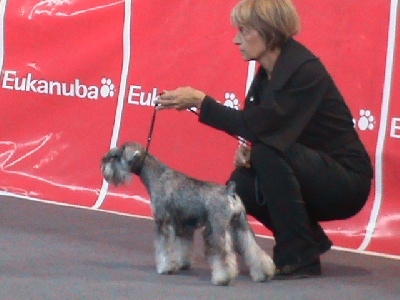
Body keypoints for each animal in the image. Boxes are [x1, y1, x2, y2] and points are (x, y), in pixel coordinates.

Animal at [101, 142, 276, 286]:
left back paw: (222, 278)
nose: (103, 163)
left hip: (216, 228)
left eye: (116, 156)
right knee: (253, 248)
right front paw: (181, 264)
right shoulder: (184, 224)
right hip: (241, 226)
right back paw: (264, 273)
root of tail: (230, 192)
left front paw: (165, 267)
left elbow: (164, 247)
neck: (157, 176)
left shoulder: (163, 222)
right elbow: (182, 246)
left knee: (222, 253)